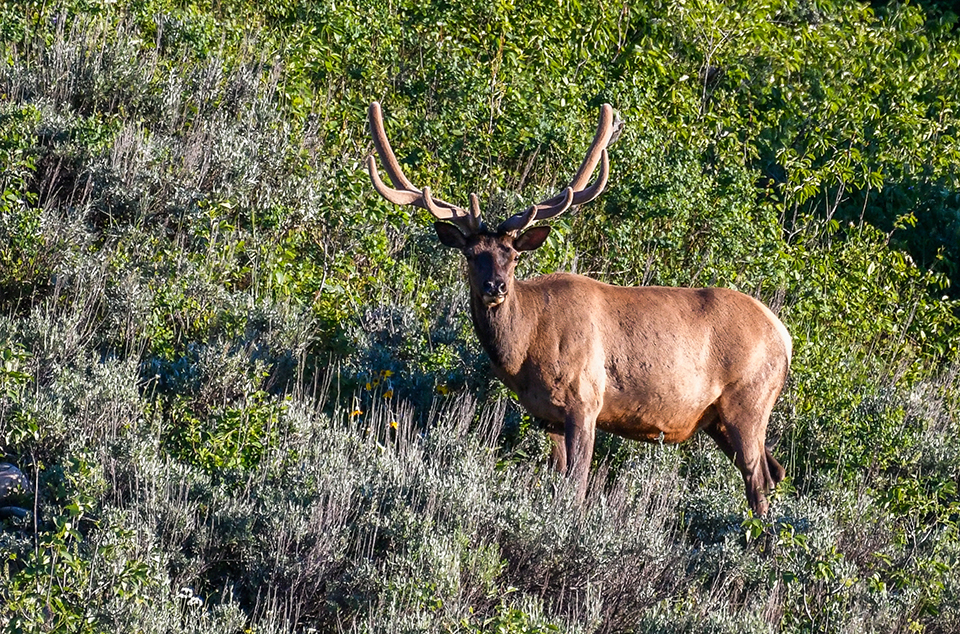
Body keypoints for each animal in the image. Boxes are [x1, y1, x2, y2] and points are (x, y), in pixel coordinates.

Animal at [366, 101, 792, 516]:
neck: (526, 350)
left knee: (758, 477)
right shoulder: (546, 415)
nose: (495, 287)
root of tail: (785, 336)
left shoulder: (586, 401)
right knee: (773, 471)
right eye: (472, 255)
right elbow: (559, 481)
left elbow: (577, 485)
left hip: (749, 399)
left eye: (512, 256)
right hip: (718, 419)